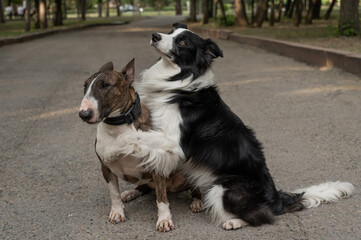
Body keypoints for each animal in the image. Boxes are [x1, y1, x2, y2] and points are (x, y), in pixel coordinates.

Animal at [78, 59, 202, 232]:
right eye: (85, 85)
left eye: (106, 85)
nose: (84, 114)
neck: (118, 128)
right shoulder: (105, 166)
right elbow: (114, 193)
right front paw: (117, 212)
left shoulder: (157, 163)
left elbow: (161, 199)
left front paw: (164, 219)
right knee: (144, 188)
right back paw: (130, 193)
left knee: (193, 187)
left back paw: (197, 201)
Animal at [116, 23, 354, 230]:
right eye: (170, 32)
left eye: (182, 42)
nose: (155, 36)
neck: (179, 81)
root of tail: (277, 199)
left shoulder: (175, 142)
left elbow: (141, 137)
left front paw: (118, 138)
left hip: (223, 188)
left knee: (263, 215)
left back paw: (234, 222)